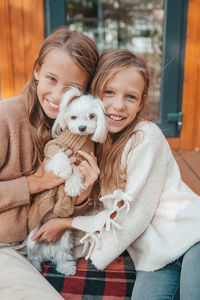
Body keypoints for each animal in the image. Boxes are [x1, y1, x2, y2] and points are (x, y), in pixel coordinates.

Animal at [27, 86, 108, 274]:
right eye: (73, 117)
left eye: (91, 116)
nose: (82, 127)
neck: (78, 141)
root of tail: (46, 247)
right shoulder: (52, 150)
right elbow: (61, 154)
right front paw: (64, 169)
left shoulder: (85, 160)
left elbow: (77, 170)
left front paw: (72, 186)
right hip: (32, 239)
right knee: (33, 256)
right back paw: (34, 266)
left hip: (63, 238)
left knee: (62, 256)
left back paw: (66, 267)